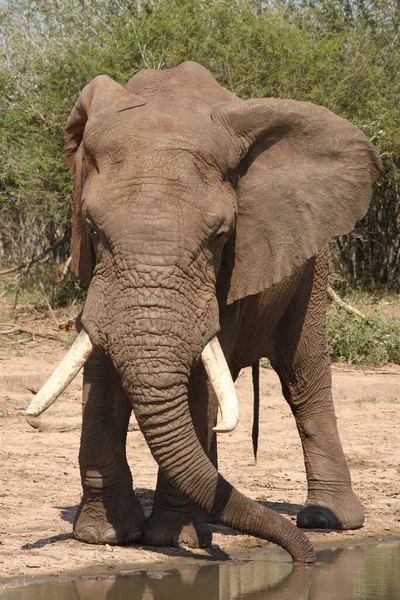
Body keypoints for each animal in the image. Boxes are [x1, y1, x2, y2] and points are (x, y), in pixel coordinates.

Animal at [26, 61, 380, 564]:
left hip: (312, 264)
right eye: (92, 228)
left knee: (304, 378)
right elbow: (98, 367)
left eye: (219, 236)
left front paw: (173, 540)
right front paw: (103, 535)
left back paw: (326, 521)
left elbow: (198, 377)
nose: (303, 560)